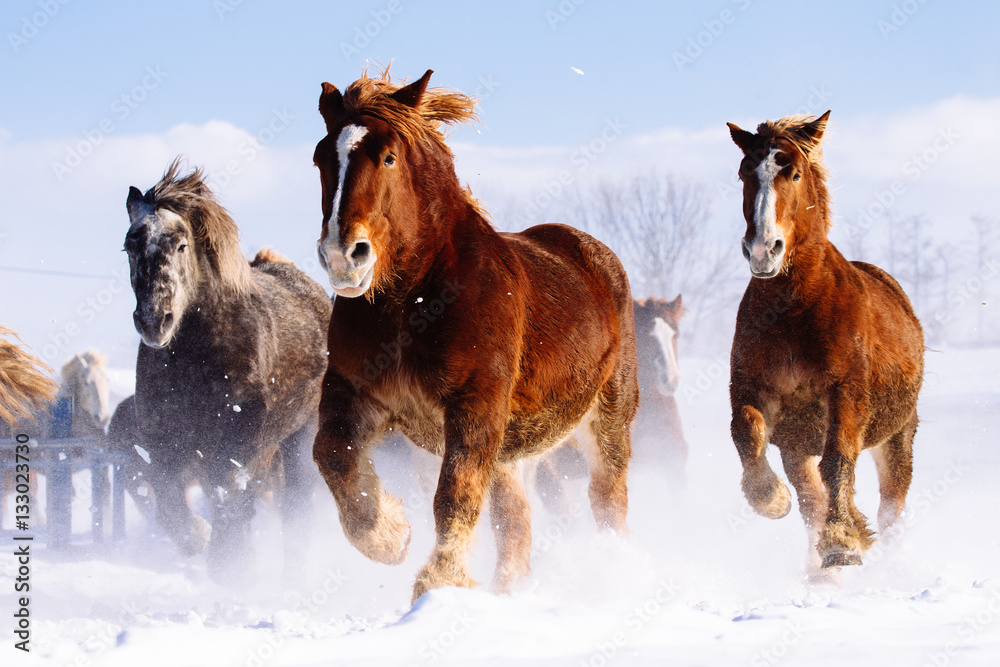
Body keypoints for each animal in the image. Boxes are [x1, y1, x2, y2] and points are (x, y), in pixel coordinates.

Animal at [124, 162, 331, 581]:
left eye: (181, 245)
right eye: (129, 247)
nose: (154, 321)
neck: (196, 356)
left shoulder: (238, 439)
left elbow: (228, 494)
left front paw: (231, 568)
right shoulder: (163, 441)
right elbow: (169, 500)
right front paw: (199, 538)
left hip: (300, 438)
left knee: (296, 508)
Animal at [312, 69, 639, 602]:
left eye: (388, 156)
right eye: (322, 157)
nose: (345, 256)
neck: (411, 302)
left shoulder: (474, 403)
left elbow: (455, 494)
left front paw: (439, 581)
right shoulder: (355, 391)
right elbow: (332, 455)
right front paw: (390, 535)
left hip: (607, 420)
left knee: (608, 502)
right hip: (510, 450)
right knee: (517, 522)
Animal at [726, 111, 924, 574]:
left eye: (794, 173)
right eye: (744, 172)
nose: (763, 250)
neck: (794, 309)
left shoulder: (845, 393)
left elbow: (838, 462)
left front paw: (843, 543)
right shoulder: (753, 392)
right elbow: (746, 433)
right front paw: (769, 498)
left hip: (897, 436)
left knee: (891, 506)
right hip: (798, 445)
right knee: (811, 500)